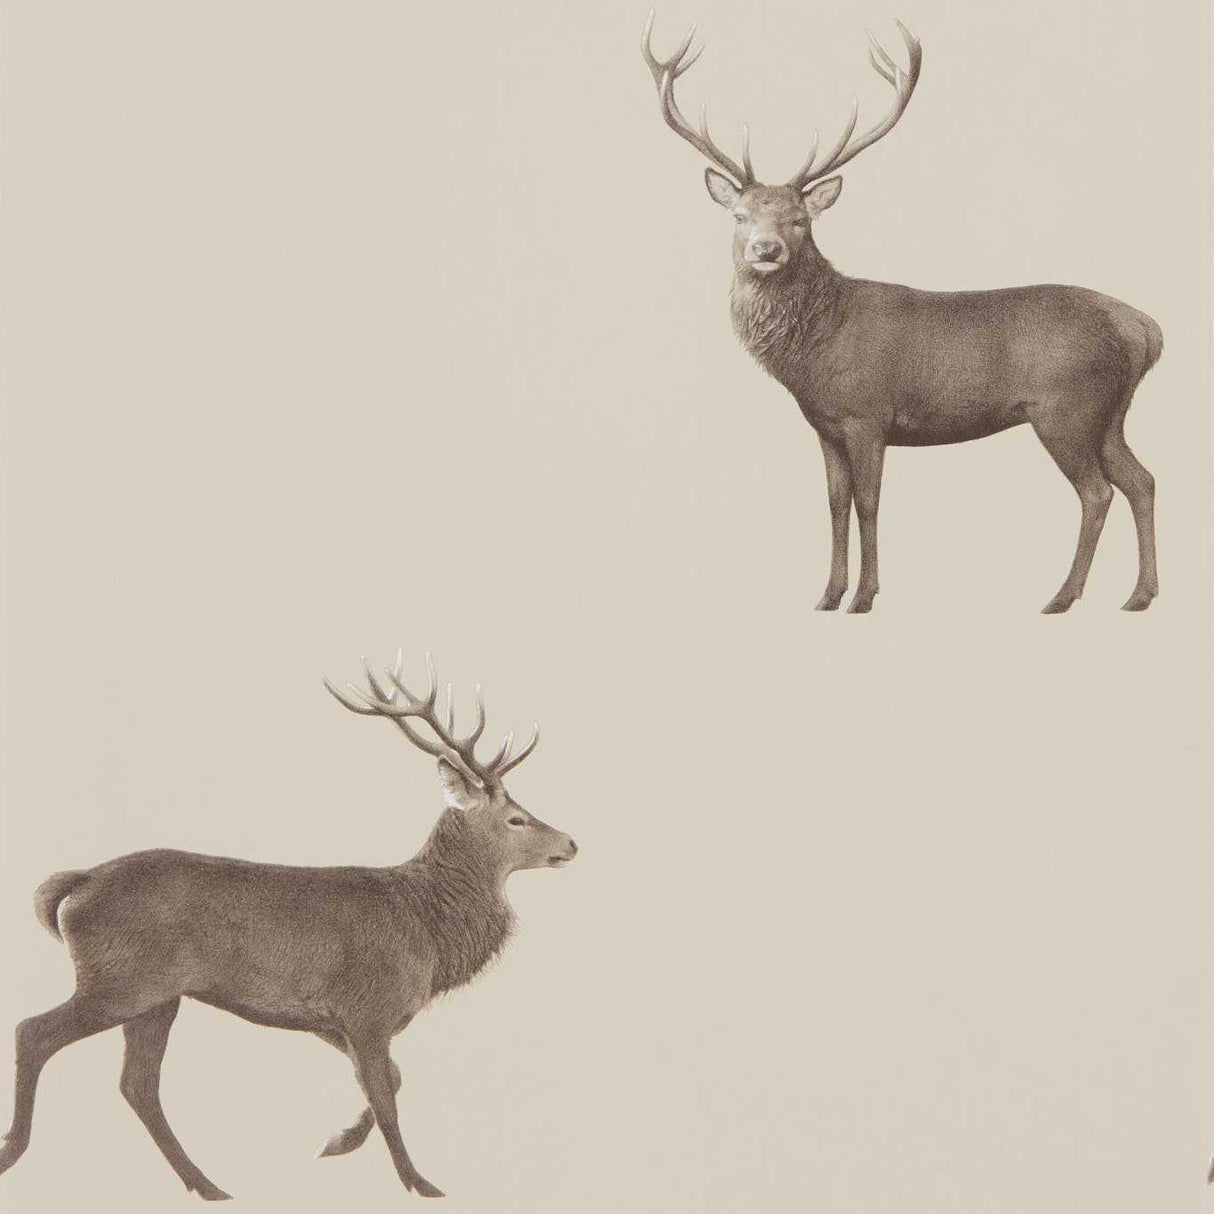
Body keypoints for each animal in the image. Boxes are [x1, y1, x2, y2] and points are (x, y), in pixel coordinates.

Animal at [0, 651, 577, 1201]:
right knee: (34, 1032)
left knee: (137, 1084)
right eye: (516, 818)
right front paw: (419, 1181)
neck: (429, 933)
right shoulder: (368, 1008)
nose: (571, 843)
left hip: (158, 997)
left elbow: (390, 1080)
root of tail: (77, 883)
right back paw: (15, 1149)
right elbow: (386, 1097)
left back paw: (206, 1184)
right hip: (119, 979)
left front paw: (339, 1142)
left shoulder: (334, 1019)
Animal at [642, 13, 1163, 614]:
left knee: (1097, 491)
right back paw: (1139, 595)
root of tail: (1146, 330)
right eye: (739, 215)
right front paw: (827, 595)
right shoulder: (825, 425)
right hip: (1111, 413)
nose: (765, 249)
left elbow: (868, 502)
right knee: (1142, 480)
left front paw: (864, 597)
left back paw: (1062, 597)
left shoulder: (869, 414)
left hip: (1066, 407)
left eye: (800, 219)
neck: (813, 353)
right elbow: (835, 502)